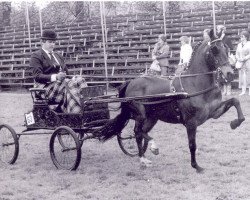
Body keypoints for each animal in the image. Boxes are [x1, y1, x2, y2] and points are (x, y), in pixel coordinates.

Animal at [94, 29, 244, 172]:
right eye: (214, 49)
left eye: (226, 48)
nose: (230, 74)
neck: (195, 84)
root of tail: (131, 82)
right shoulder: (191, 123)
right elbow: (192, 145)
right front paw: (196, 166)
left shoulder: (214, 112)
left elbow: (235, 101)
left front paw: (235, 123)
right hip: (140, 115)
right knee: (137, 131)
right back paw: (149, 151)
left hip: (152, 118)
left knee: (141, 133)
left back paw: (144, 157)